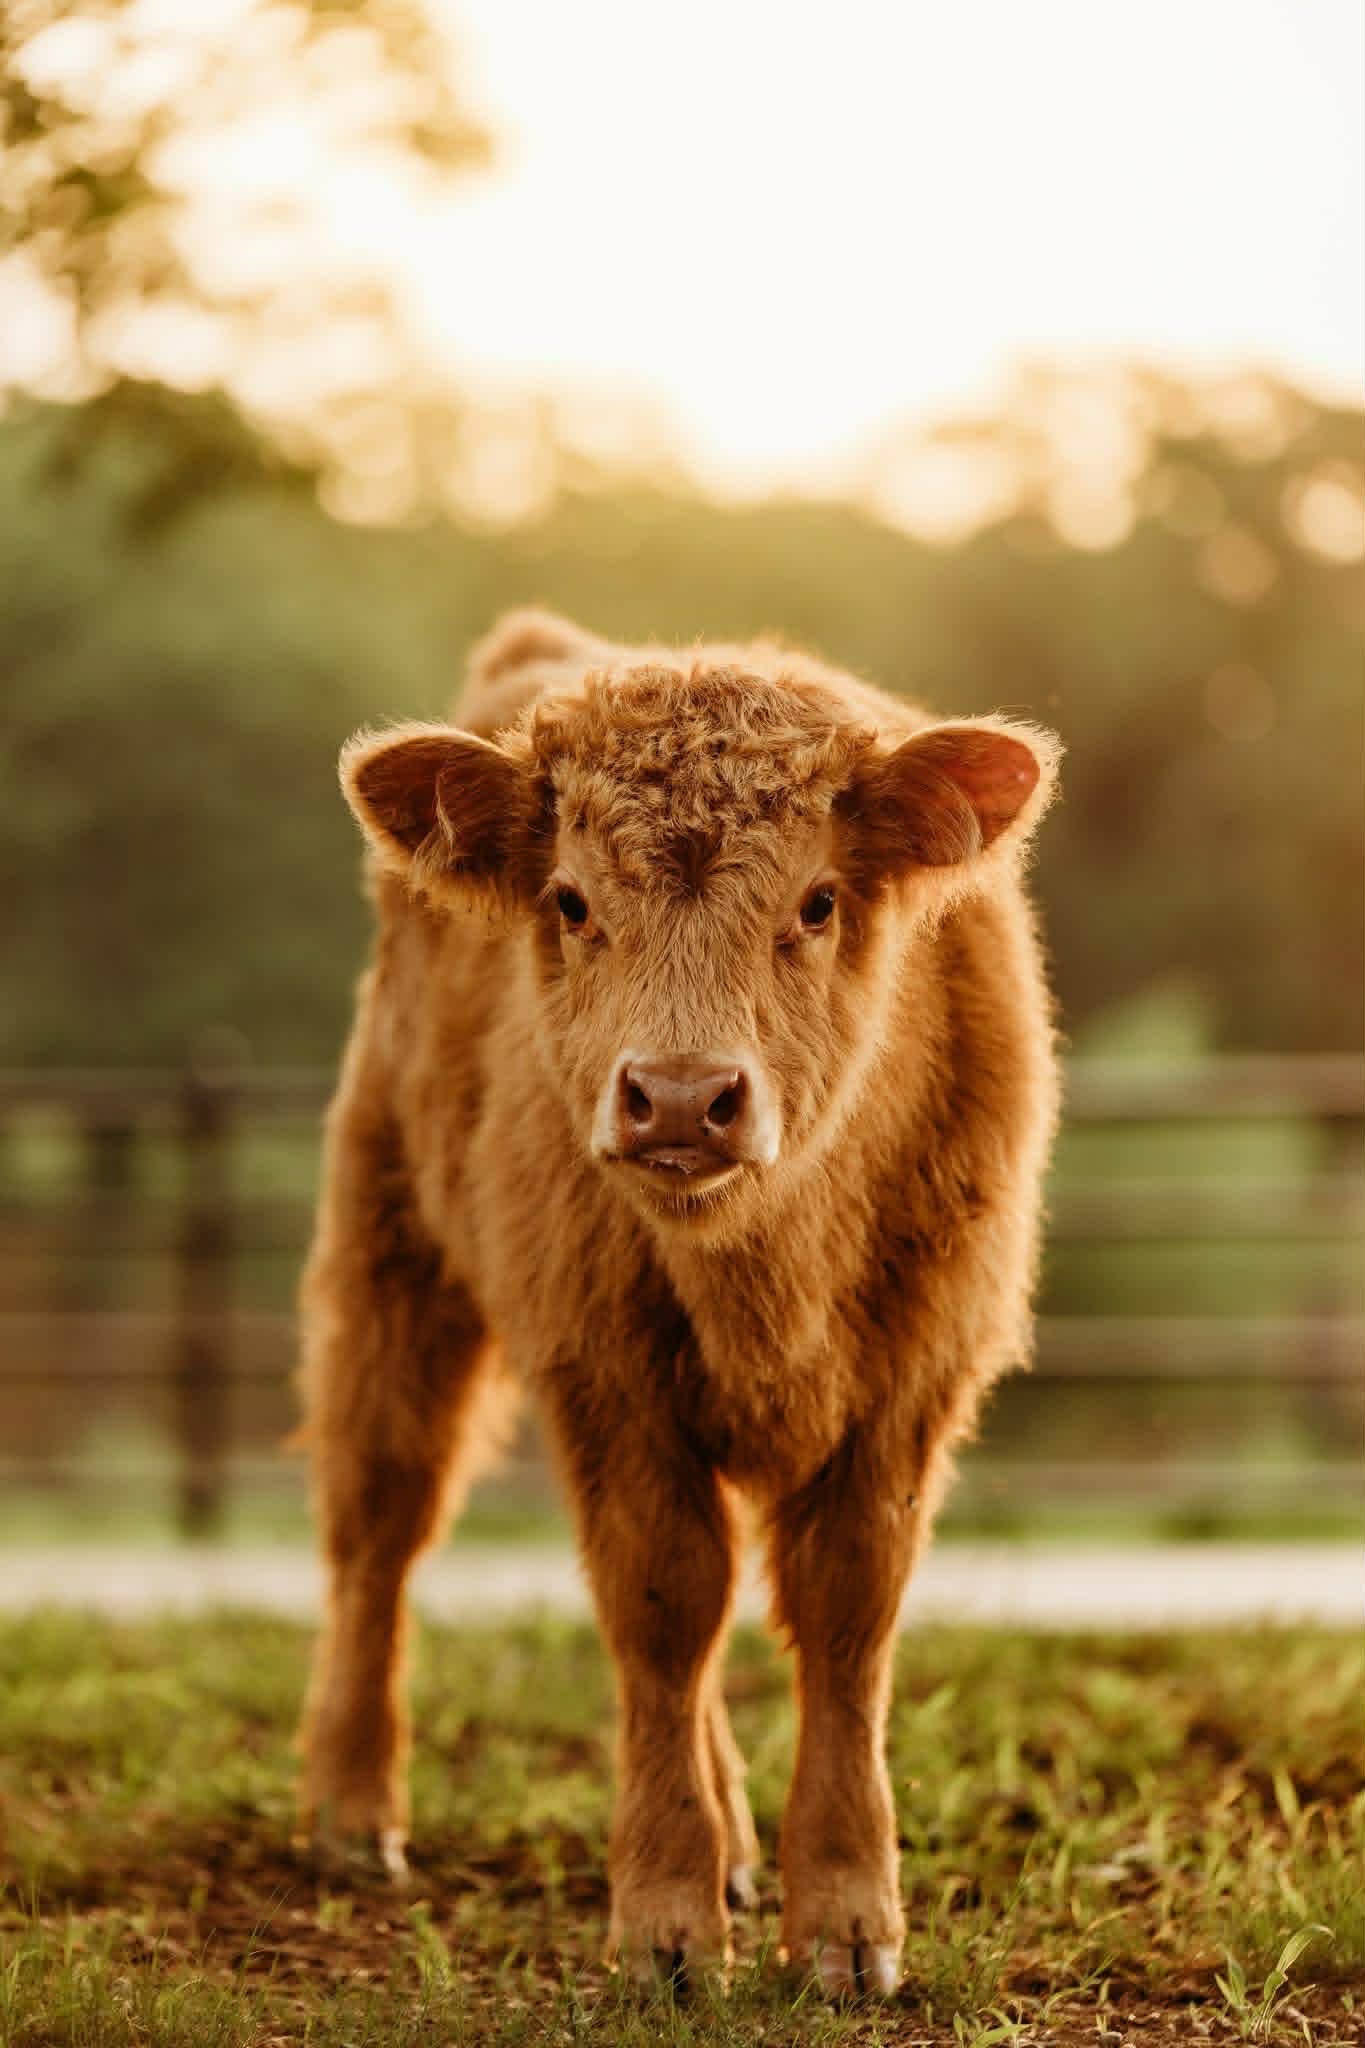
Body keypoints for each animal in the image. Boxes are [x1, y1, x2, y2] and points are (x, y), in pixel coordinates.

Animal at [296, 609, 1060, 1996]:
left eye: (817, 900)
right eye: (571, 899)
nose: (684, 1097)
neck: (766, 1264)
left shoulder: (910, 1385)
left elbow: (843, 1617)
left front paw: (847, 1924)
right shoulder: (604, 1375)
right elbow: (660, 1609)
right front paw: (664, 1923)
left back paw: (742, 1846)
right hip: (392, 1260)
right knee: (379, 1524)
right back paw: (350, 1812)